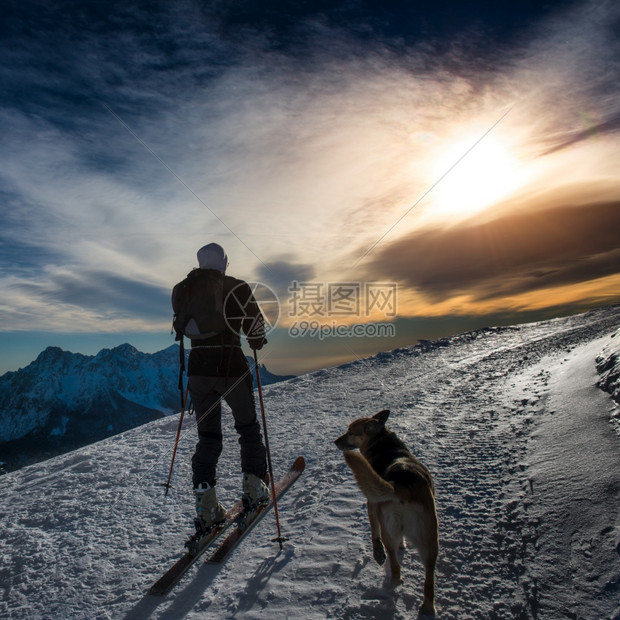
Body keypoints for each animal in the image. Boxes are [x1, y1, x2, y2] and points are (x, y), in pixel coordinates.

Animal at [336, 412, 438, 616]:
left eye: (350, 432)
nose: (336, 441)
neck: (384, 444)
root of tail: (402, 487)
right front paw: (403, 545)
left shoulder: (372, 503)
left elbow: (374, 532)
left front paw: (378, 552)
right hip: (430, 539)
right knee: (429, 579)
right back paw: (428, 608)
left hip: (389, 529)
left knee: (395, 566)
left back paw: (392, 581)